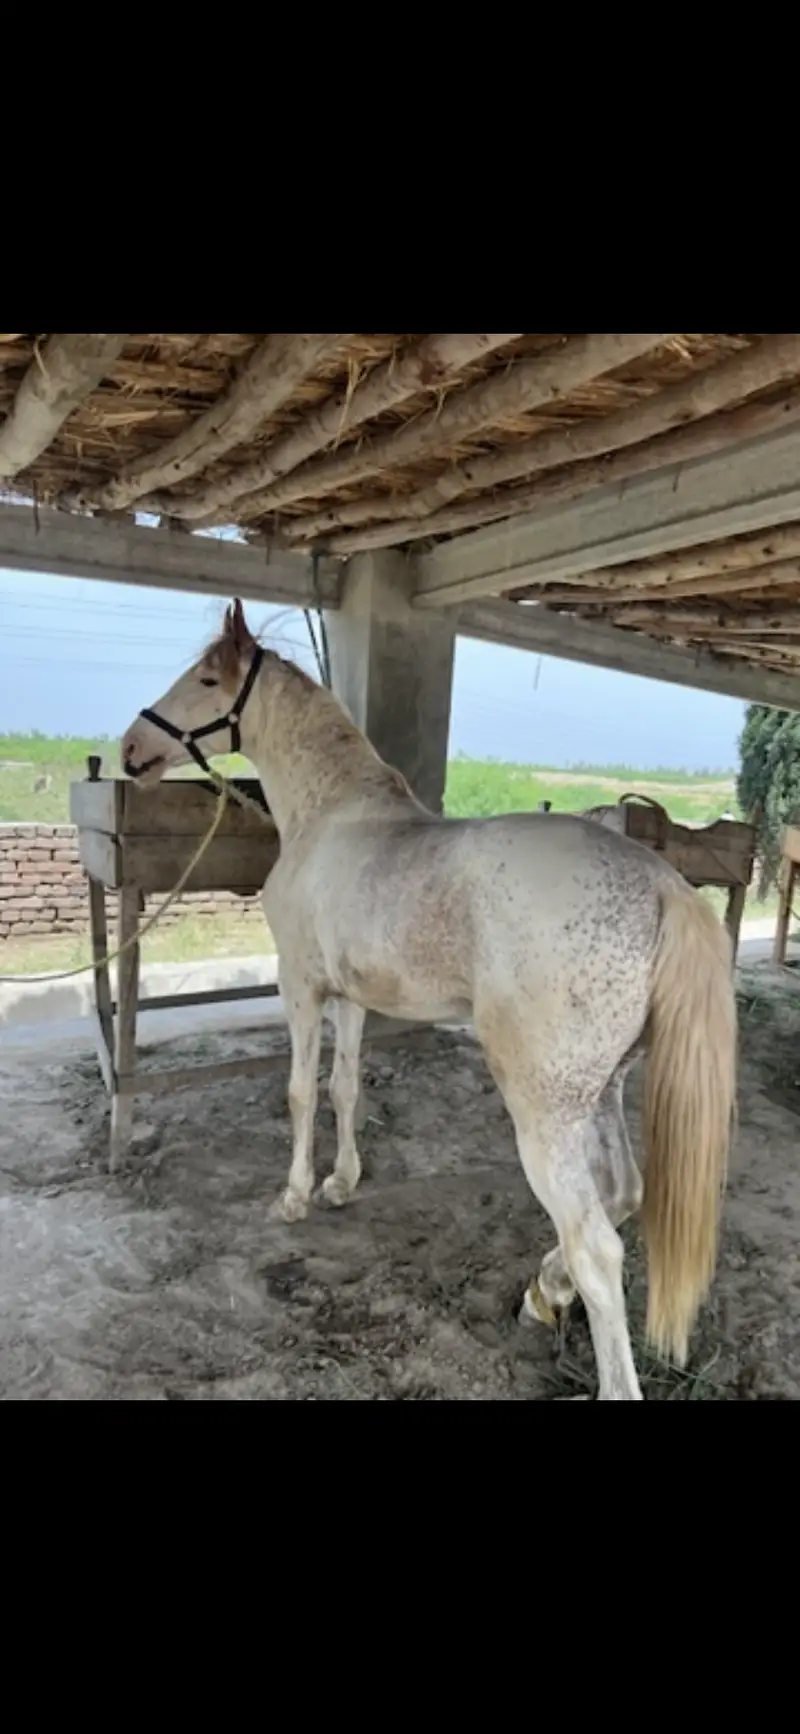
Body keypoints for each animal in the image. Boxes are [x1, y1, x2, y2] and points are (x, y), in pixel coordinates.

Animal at [121, 599, 737, 1401]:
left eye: (204, 678)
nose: (131, 748)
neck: (331, 812)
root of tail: (665, 887)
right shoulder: (350, 996)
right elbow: (346, 1088)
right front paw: (341, 1183)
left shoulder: (301, 987)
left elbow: (299, 1092)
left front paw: (294, 1196)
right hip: (601, 1092)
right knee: (624, 1195)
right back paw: (544, 1291)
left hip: (545, 1113)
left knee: (597, 1245)